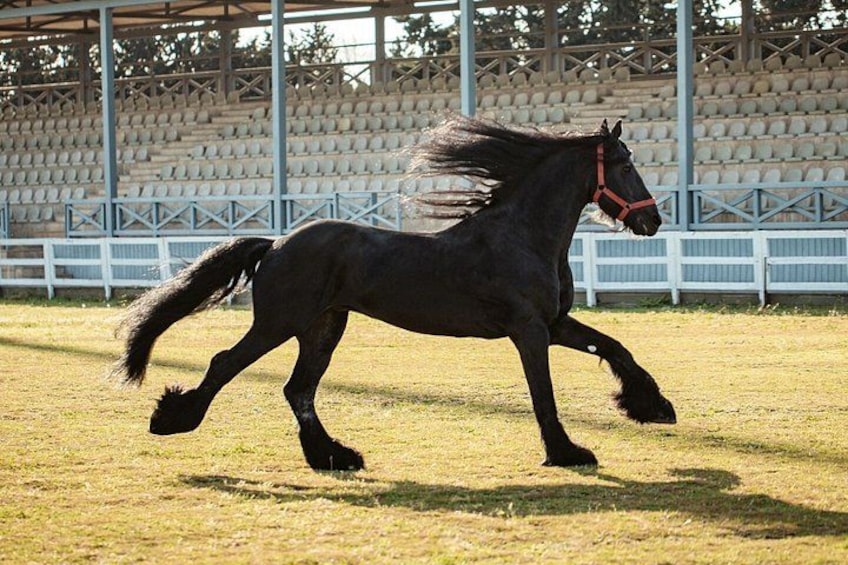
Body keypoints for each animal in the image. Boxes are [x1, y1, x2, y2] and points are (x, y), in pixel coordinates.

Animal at [112, 116, 676, 471]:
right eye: (625, 165)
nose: (652, 220)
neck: (521, 236)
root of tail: (275, 243)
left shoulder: (554, 323)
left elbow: (617, 348)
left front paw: (651, 406)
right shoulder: (529, 330)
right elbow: (544, 394)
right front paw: (568, 452)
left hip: (323, 327)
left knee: (298, 389)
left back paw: (335, 457)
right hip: (279, 323)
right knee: (226, 363)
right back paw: (171, 419)